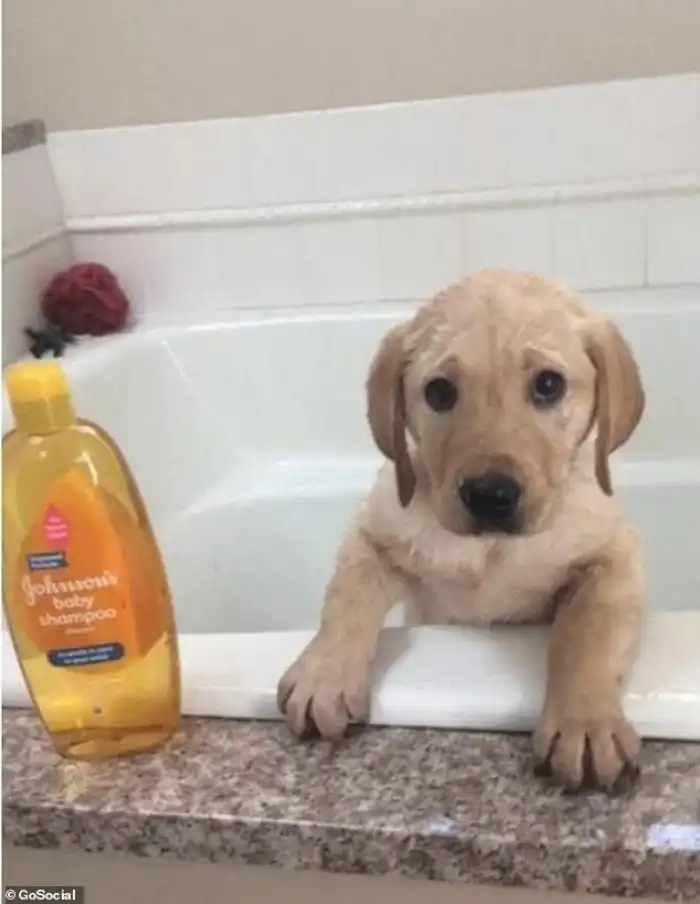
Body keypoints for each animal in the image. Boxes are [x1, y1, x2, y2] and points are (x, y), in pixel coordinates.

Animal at [278, 270, 646, 793]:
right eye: (439, 392)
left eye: (548, 385)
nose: (490, 495)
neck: (490, 550)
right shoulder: (372, 532)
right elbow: (346, 599)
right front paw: (323, 673)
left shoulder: (616, 555)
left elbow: (589, 629)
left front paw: (586, 720)